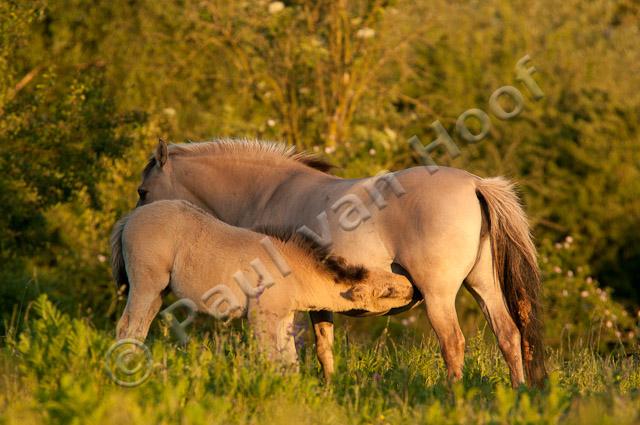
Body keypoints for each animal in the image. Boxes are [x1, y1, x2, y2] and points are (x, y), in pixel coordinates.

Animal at [110, 200, 412, 364]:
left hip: (158, 292)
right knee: (128, 326)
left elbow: (289, 360)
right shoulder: (260, 316)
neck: (295, 271)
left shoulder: (283, 317)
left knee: (140, 327)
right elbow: (271, 358)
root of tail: (129, 218)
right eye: (387, 290)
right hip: (146, 284)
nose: (411, 288)